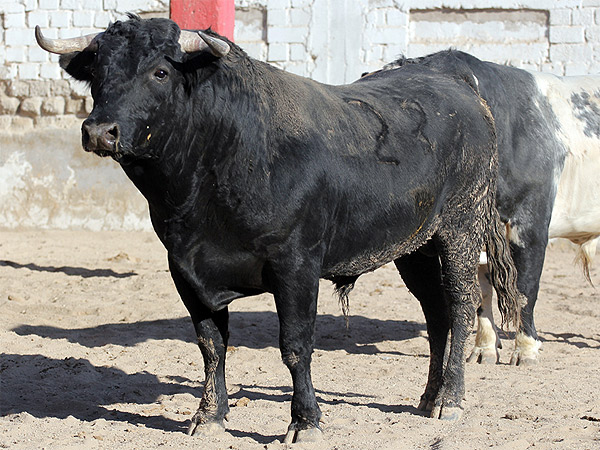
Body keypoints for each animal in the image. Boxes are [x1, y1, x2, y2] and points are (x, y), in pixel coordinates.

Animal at [36, 17, 523, 442]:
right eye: (98, 73)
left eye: (160, 71)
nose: (100, 131)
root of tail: (458, 86)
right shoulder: (186, 270)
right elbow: (211, 344)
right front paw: (209, 417)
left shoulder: (296, 266)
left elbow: (295, 345)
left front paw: (305, 423)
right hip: (414, 247)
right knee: (436, 313)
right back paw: (427, 397)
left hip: (460, 228)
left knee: (460, 307)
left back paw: (450, 400)